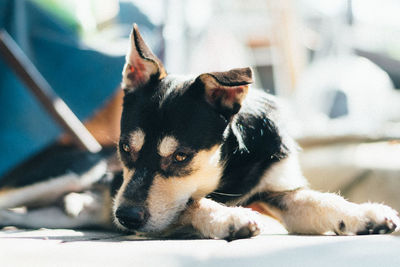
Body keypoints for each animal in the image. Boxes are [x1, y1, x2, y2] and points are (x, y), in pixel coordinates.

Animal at [0, 24, 400, 239]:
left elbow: (320, 201)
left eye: (181, 156)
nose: (124, 218)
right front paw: (228, 218)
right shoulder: (155, 210)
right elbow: (190, 203)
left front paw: (364, 214)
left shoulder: (278, 190)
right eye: (125, 150)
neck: (231, 168)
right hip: (65, 175)